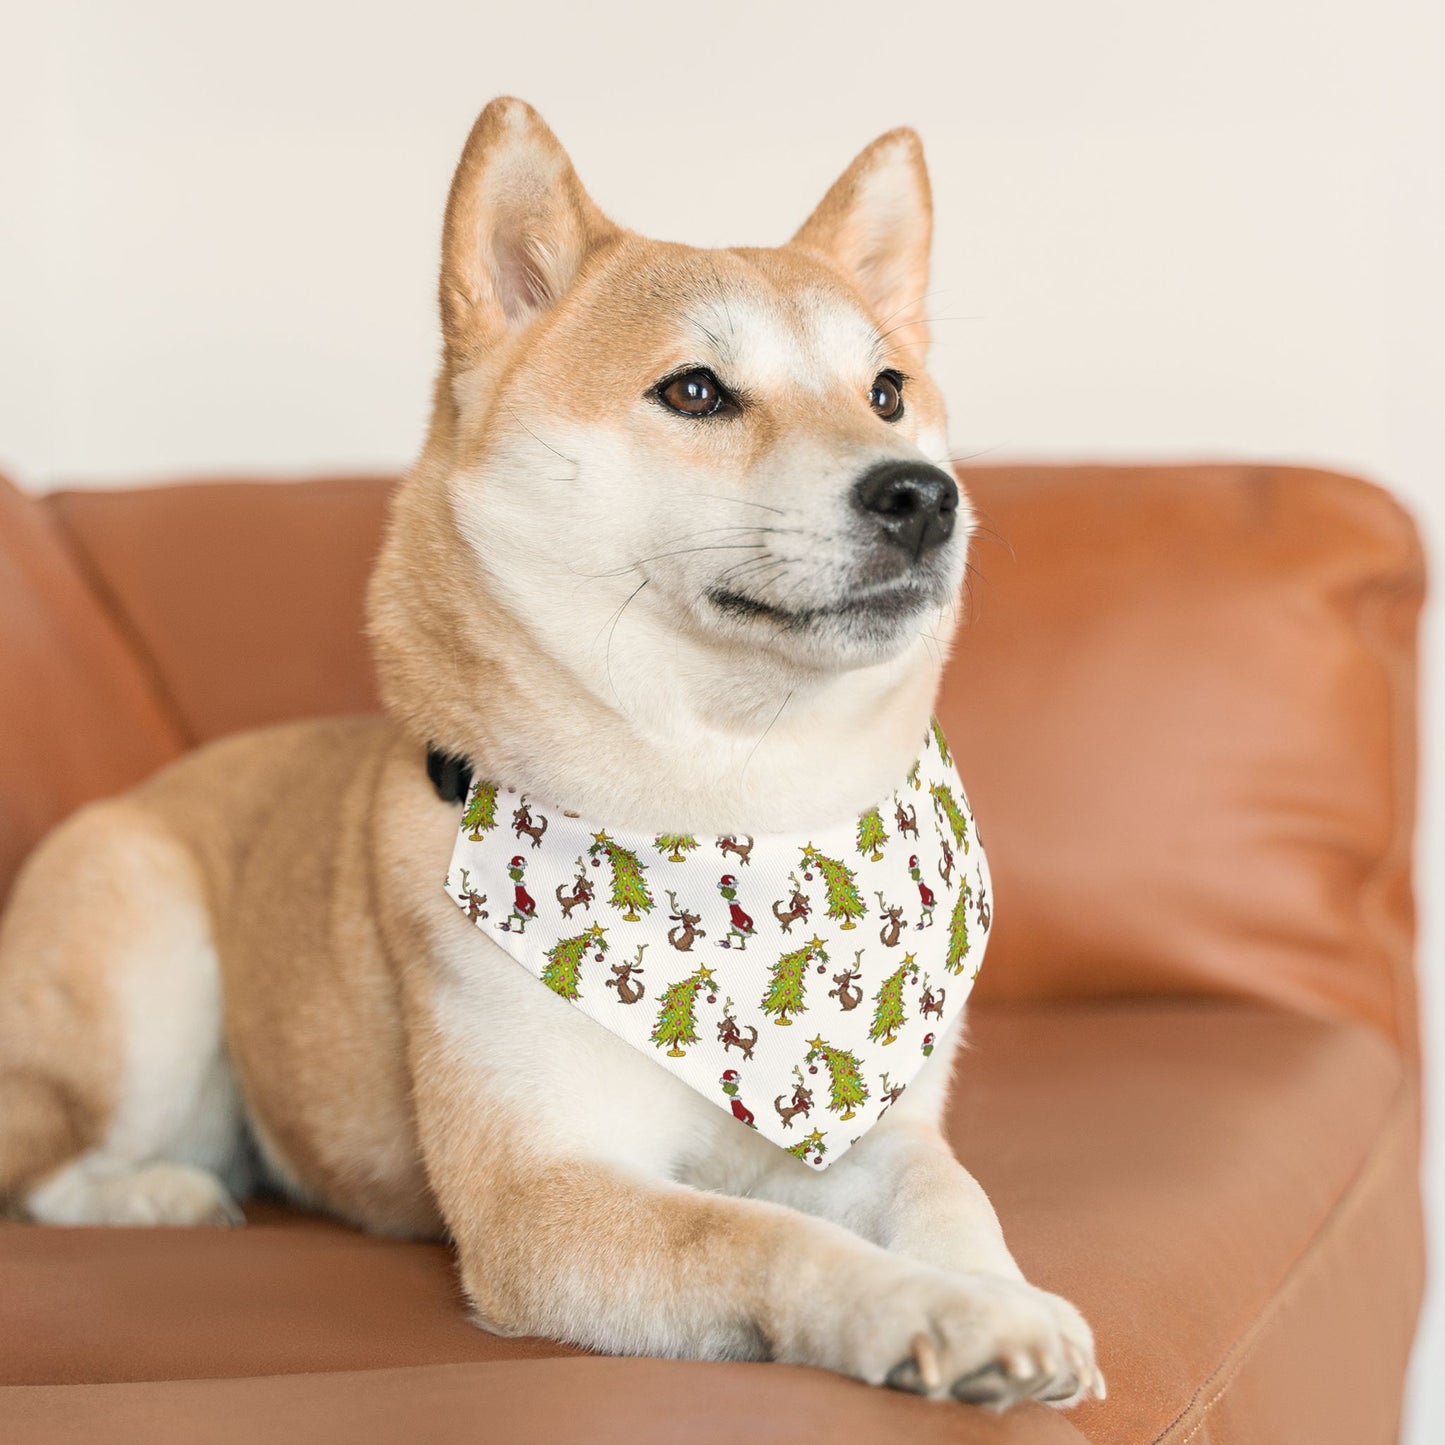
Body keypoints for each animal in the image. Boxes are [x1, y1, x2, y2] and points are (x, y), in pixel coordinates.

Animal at [0, 98, 1098, 1410]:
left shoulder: (878, 1128)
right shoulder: (542, 1196)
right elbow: (763, 1236)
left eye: (886, 390)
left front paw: (999, 1294)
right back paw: (162, 1192)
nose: (923, 495)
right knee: (48, 1166)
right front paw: (928, 1308)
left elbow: (948, 1192)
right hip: (145, 963)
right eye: (694, 390)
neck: (738, 806)